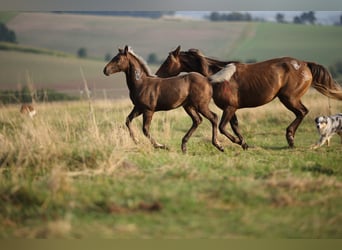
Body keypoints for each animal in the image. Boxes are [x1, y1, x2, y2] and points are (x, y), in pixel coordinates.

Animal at [156, 46, 342, 148]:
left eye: (167, 61)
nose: (157, 75)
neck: (217, 76)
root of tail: (304, 64)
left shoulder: (229, 108)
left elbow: (222, 127)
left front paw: (237, 142)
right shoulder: (232, 109)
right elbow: (235, 126)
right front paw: (244, 143)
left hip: (289, 98)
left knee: (302, 112)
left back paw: (290, 138)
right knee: (301, 113)